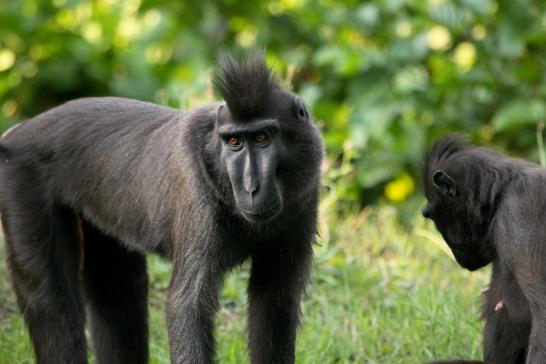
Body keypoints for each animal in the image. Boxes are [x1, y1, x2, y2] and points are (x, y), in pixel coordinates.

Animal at [0, 54, 324, 364]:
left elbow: (274, 302)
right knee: (51, 302)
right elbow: (188, 306)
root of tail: (18, 133)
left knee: (118, 292)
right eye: (234, 142)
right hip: (21, 186)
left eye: (261, 138)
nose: (250, 187)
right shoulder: (198, 201)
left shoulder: (305, 198)